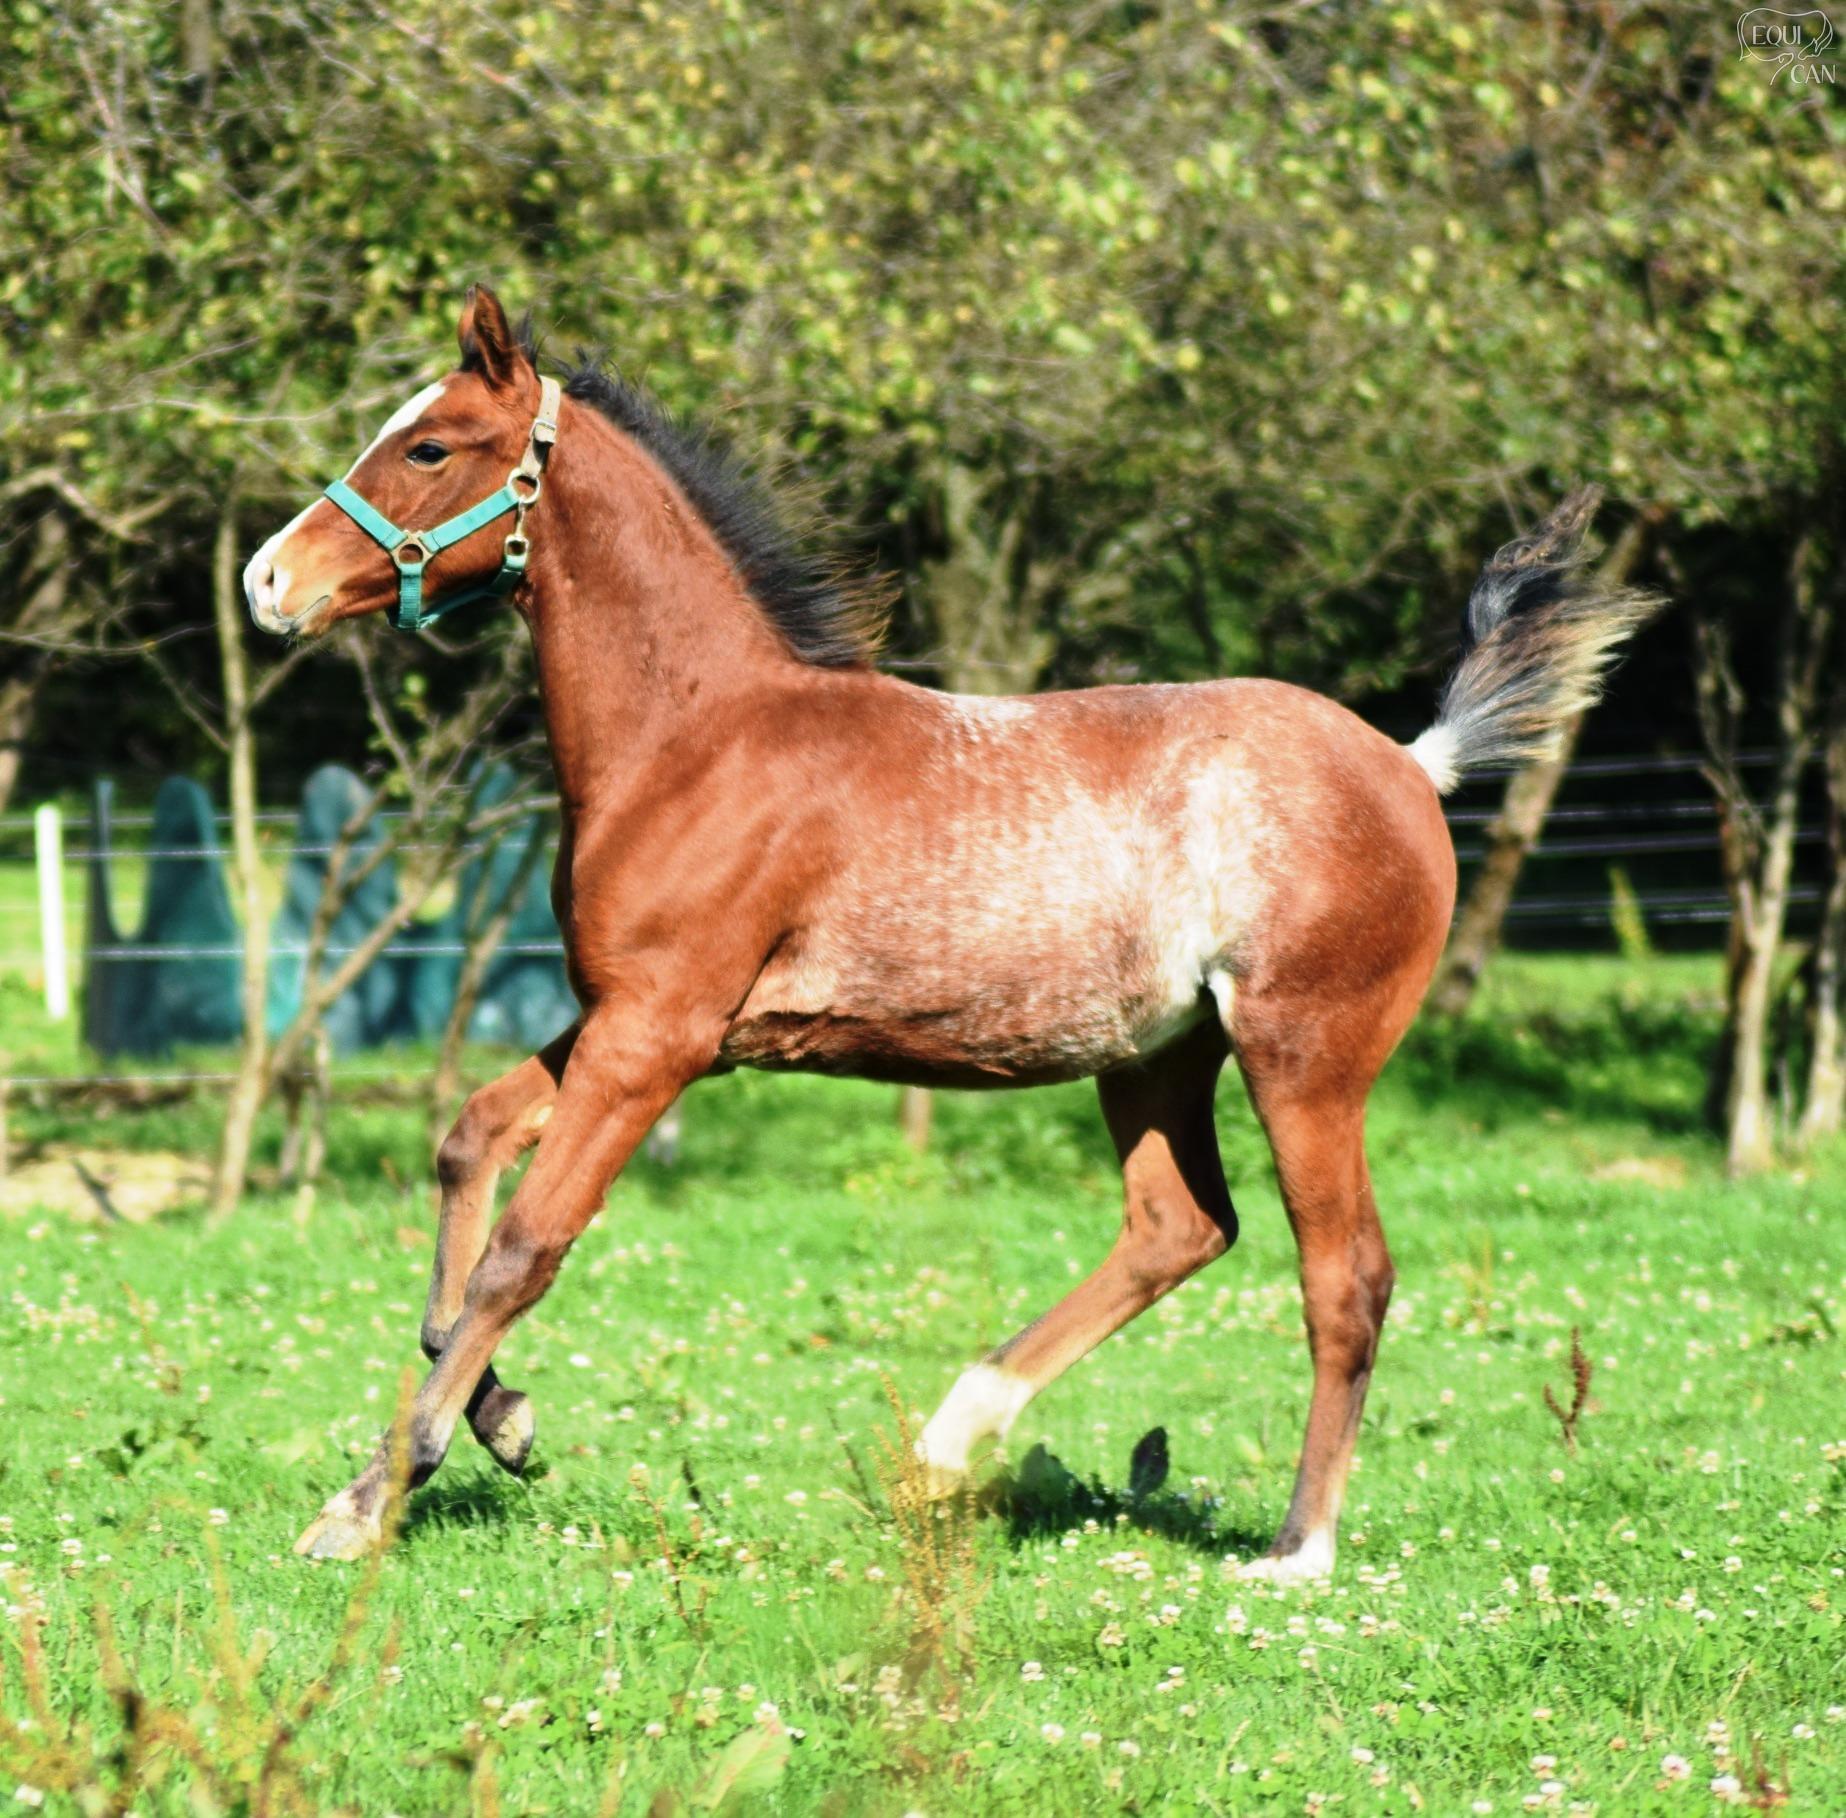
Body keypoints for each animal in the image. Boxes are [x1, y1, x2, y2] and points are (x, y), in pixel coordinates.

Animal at [245, 286, 1655, 1572]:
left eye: (432, 447)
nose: (269, 580)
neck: (697, 740)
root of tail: (1415, 766)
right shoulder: (635, 1023)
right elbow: (466, 1147)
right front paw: (502, 1421)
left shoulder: (656, 1037)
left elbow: (525, 1248)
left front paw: (368, 1498)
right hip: (1156, 1058)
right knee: (1179, 1227)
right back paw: (943, 1444)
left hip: (1304, 1058)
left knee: (1343, 1274)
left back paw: (1295, 1548)